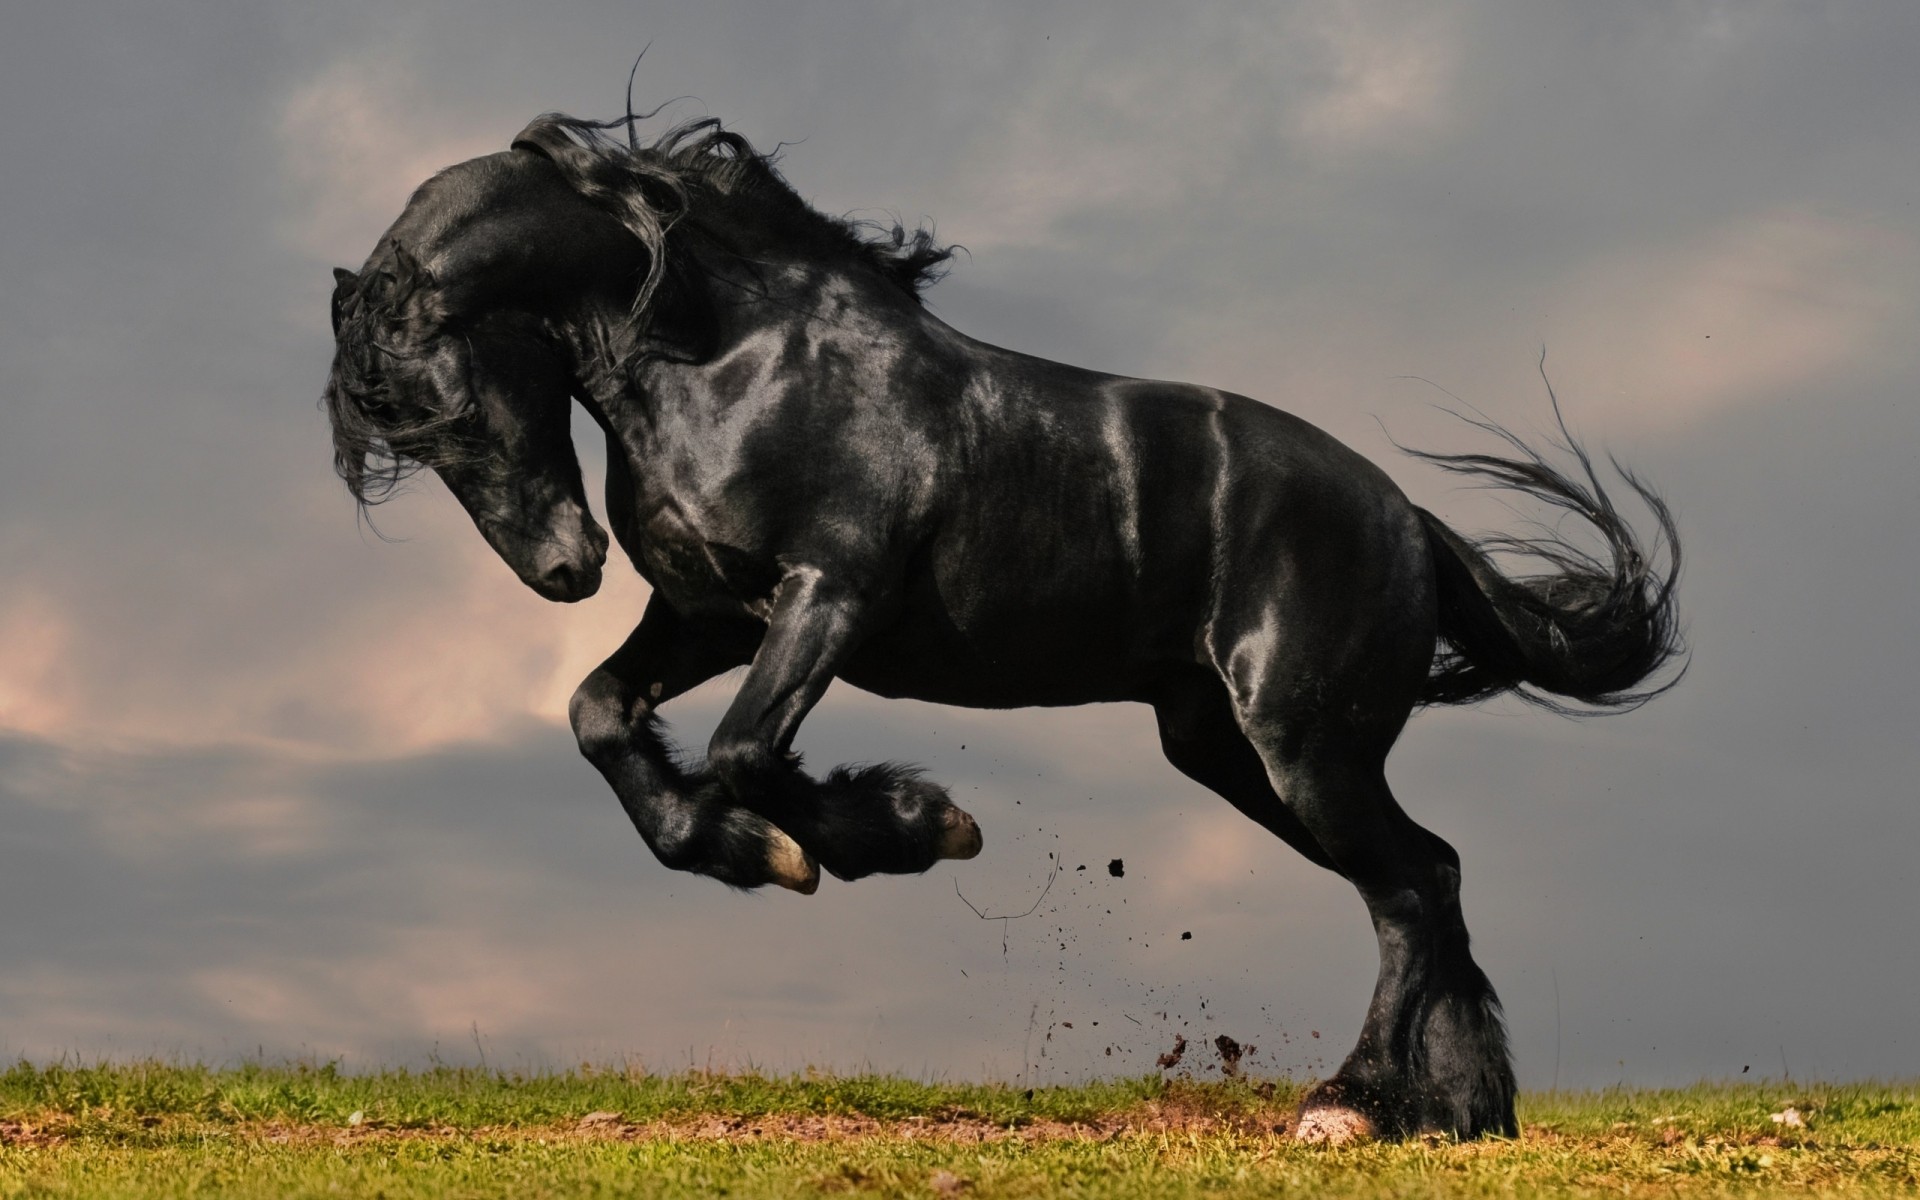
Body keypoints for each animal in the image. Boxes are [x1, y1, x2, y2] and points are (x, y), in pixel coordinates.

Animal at [330, 112, 1681, 1144]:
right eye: (401, 435)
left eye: (448, 404)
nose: (564, 570)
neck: (732, 357)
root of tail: (1409, 521)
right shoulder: (709, 612)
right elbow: (602, 717)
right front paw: (749, 849)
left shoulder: (828, 597)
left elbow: (744, 751)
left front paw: (905, 828)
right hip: (1230, 751)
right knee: (1429, 875)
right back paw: (1455, 1111)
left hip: (1304, 746)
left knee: (1409, 886)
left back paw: (1352, 1105)